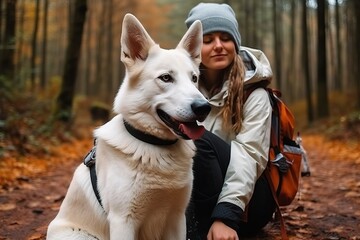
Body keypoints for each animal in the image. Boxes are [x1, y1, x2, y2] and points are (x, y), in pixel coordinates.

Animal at [46, 13, 210, 240]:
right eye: (166, 78)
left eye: (194, 78)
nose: (204, 107)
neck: (155, 146)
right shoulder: (123, 221)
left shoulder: (177, 218)